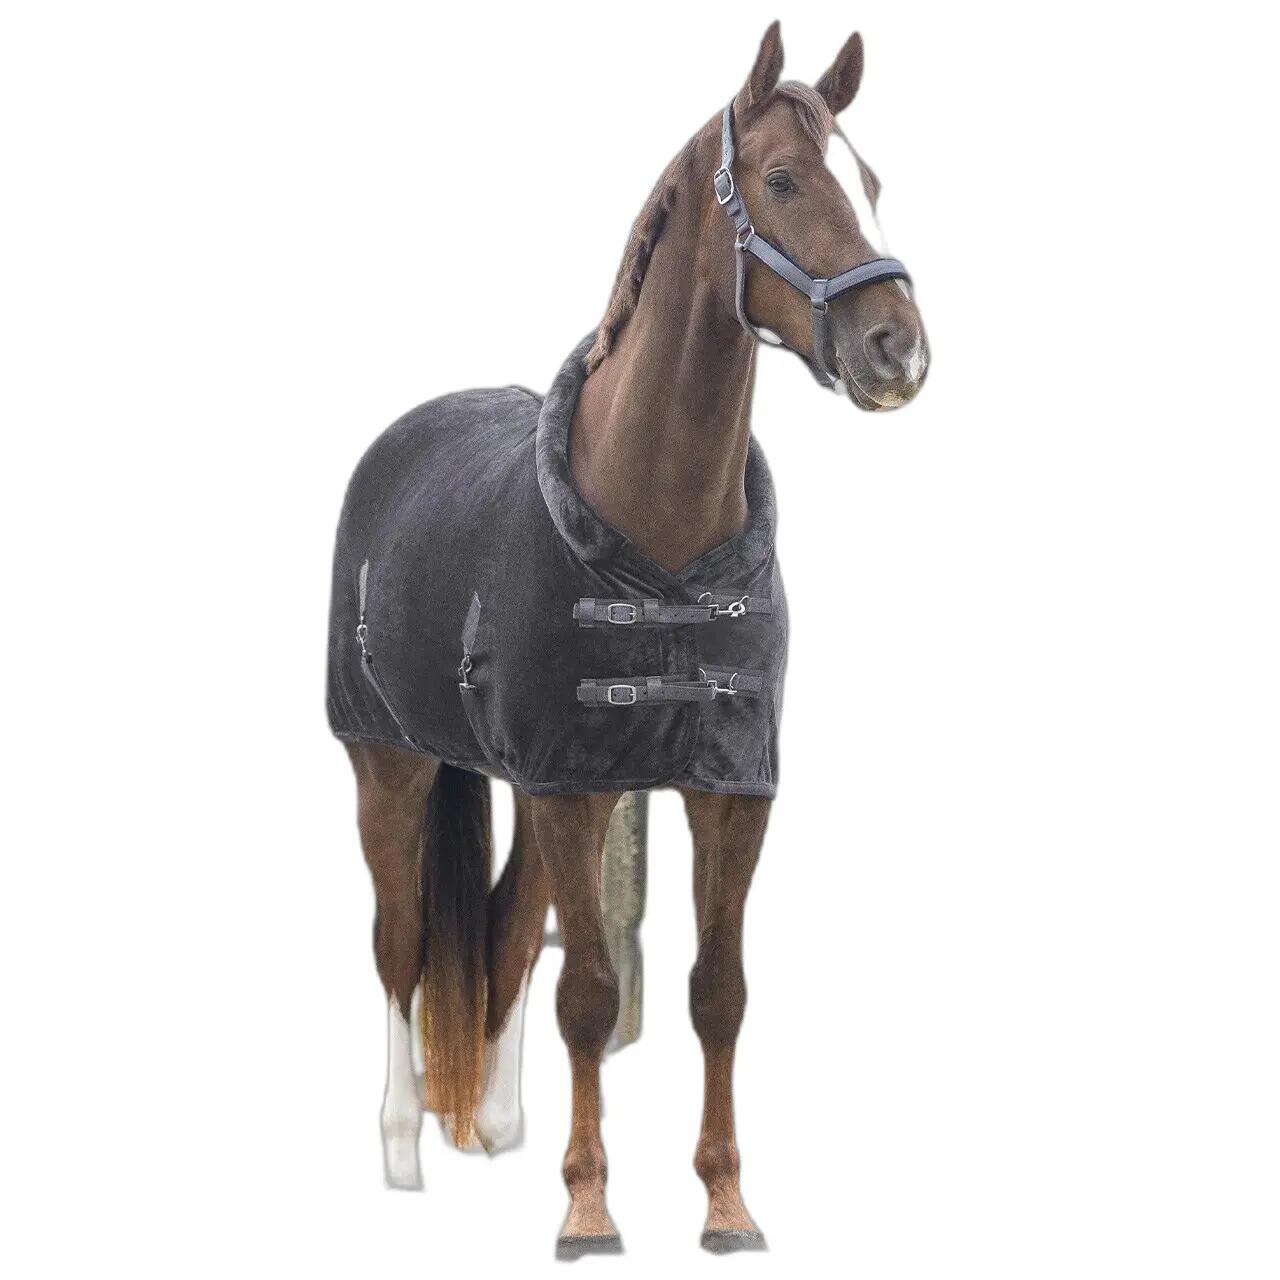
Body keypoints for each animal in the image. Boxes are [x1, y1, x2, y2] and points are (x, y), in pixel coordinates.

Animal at [328, 21, 928, 1257]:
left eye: (873, 183)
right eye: (783, 180)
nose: (898, 349)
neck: (659, 538)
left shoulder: (718, 789)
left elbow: (714, 990)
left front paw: (727, 1204)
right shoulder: (570, 782)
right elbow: (593, 996)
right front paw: (589, 1208)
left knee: (508, 928)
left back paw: (495, 1125)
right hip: (389, 764)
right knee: (402, 942)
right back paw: (406, 1148)